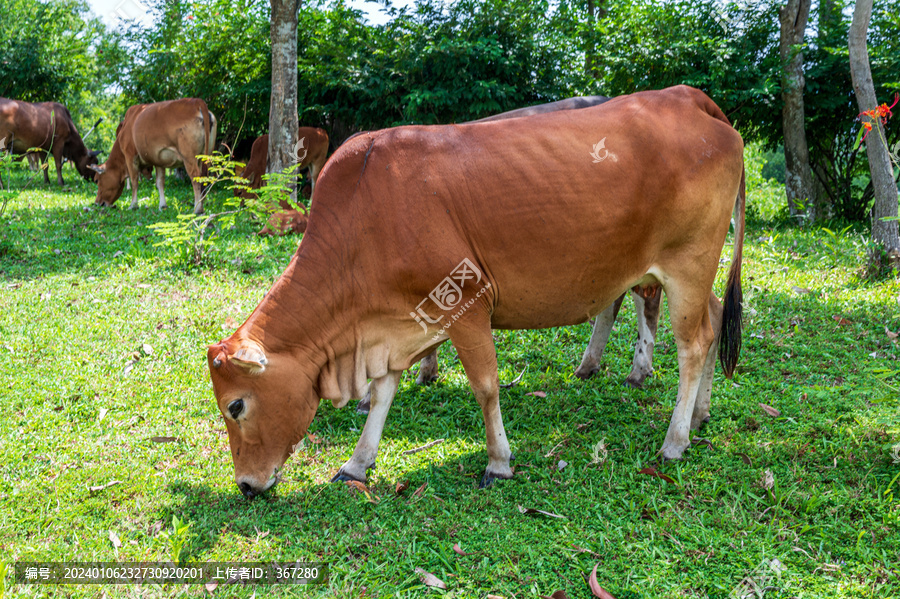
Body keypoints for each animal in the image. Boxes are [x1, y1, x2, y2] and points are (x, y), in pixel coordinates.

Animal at [209, 84, 744, 496]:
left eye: (236, 405)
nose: (246, 485)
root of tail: (689, 98)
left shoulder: (466, 305)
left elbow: (486, 387)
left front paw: (498, 461)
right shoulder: (397, 323)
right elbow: (383, 394)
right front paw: (357, 463)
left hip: (688, 266)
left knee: (693, 344)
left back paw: (674, 440)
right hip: (695, 274)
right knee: (715, 322)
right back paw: (700, 415)